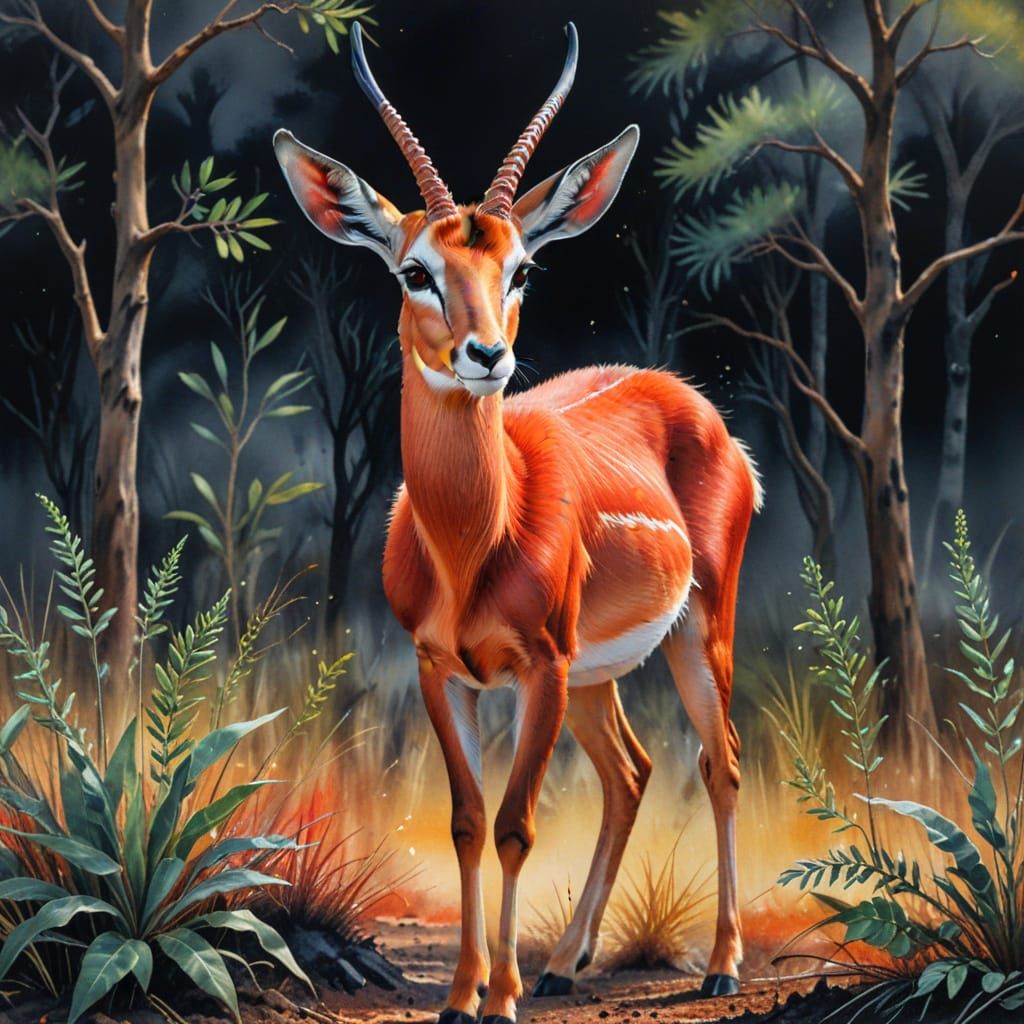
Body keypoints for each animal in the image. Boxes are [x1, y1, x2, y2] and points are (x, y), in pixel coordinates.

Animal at [274, 22, 761, 1022]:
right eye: (416, 270)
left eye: (522, 267)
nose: (487, 354)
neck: (471, 548)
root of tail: (697, 405)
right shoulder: (441, 671)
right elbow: (466, 823)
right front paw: (464, 994)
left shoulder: (540, 665)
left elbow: (514, 825)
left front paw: (494, 998)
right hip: (597, 673)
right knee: (632, 773)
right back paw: (563, 963)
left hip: (695, 630)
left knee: (720, 762)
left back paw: (723, 964)